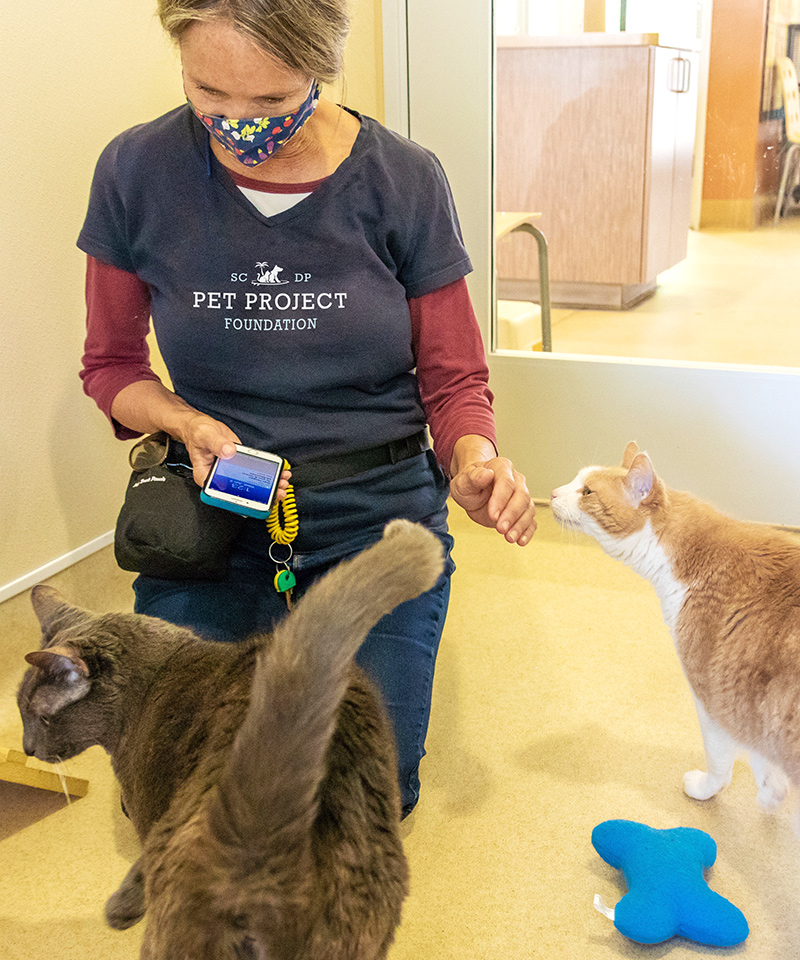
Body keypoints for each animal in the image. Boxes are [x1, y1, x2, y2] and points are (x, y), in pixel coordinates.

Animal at [18, 520, 444, 956]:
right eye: (19, 711)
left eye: (40, 718)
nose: (26, 748)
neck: (151, 677)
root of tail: (264, 852)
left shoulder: (148, 808)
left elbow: (142, 856)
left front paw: (123, 904)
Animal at [552, 446, 796, 812]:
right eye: (575, 483)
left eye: (587, 492)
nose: (552, 493)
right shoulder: (752, 701)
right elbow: (762, 757)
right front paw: (772, 792)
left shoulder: (715, 698)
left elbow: (720, 761)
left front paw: (709, 789)